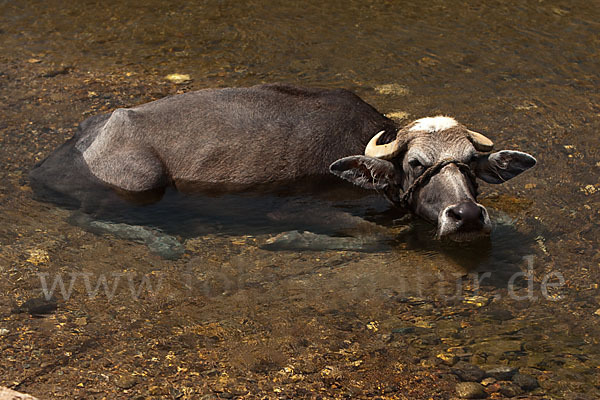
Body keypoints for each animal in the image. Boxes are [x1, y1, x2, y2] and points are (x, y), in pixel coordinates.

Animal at [29, 83, 536, 241]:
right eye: (415, 163)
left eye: (470, 163)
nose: (465, 214)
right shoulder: (295, 208)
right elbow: (371, 235)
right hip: (141, 181)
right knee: (87, 217)